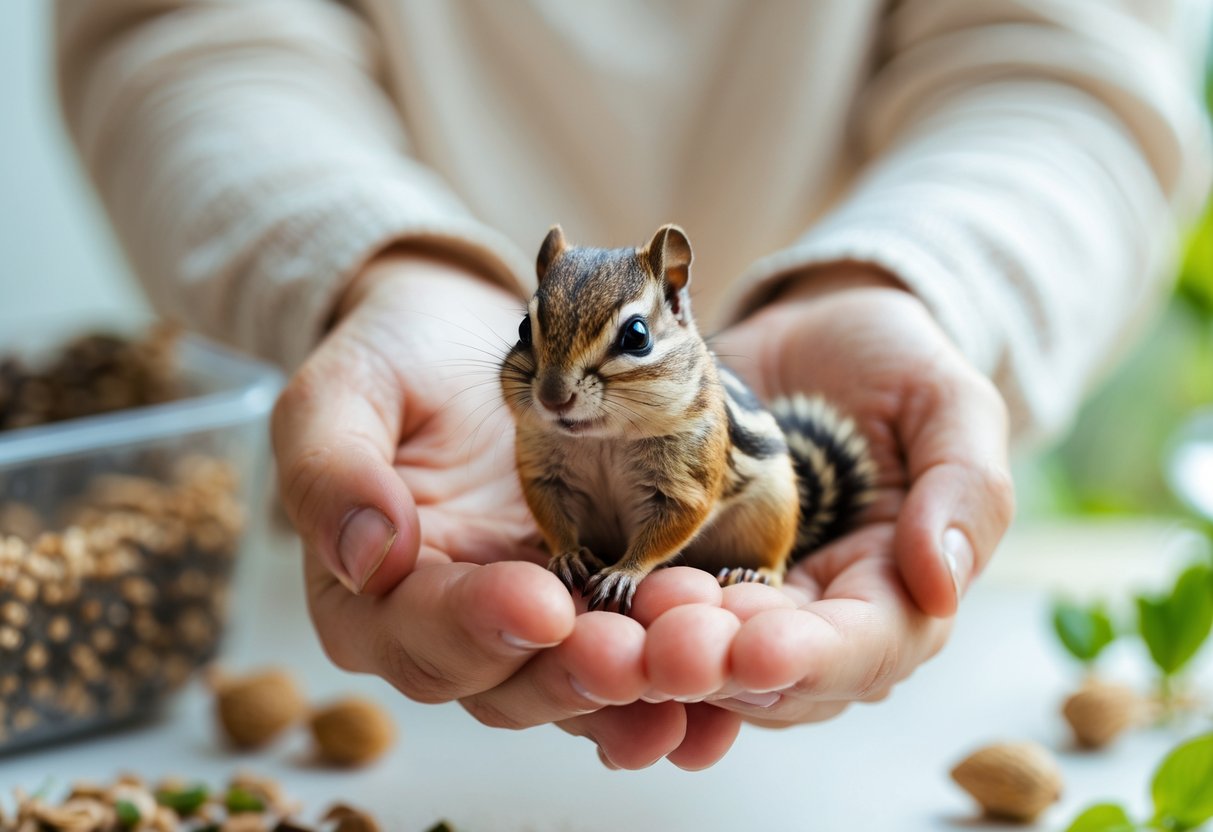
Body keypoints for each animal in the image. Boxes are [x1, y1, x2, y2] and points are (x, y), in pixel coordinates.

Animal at [500, 224, 876, 616]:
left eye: (636, 335)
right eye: (524, 329)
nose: (553, 398)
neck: (604, 439)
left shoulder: (688, 482)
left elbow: (668, 530)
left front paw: (623, 572)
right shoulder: (543, 473)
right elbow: (552, 516)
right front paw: (567, 554)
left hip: (775, 508)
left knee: (777, 563)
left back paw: (754, 573)